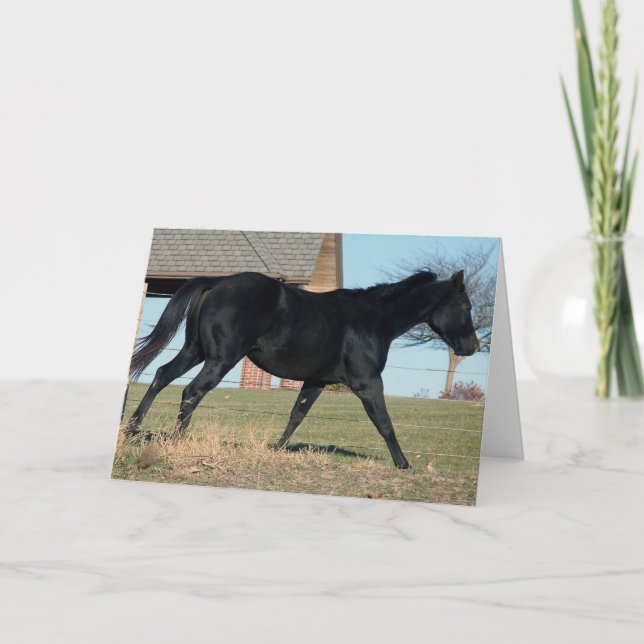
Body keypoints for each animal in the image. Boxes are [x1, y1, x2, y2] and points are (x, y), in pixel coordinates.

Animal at [126, 269, 480, 469]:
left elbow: (297, 415)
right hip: (219, 359)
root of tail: (219, 282)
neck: (374, 320)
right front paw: (404, 464)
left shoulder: (317, 380)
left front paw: (276, 450)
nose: (472, 347)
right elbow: (384, 423)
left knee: (161, 376)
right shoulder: (367, 382)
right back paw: (177, 441)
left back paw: (132, 430)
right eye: (466, 306)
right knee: (191, 391)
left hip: (195, 350)